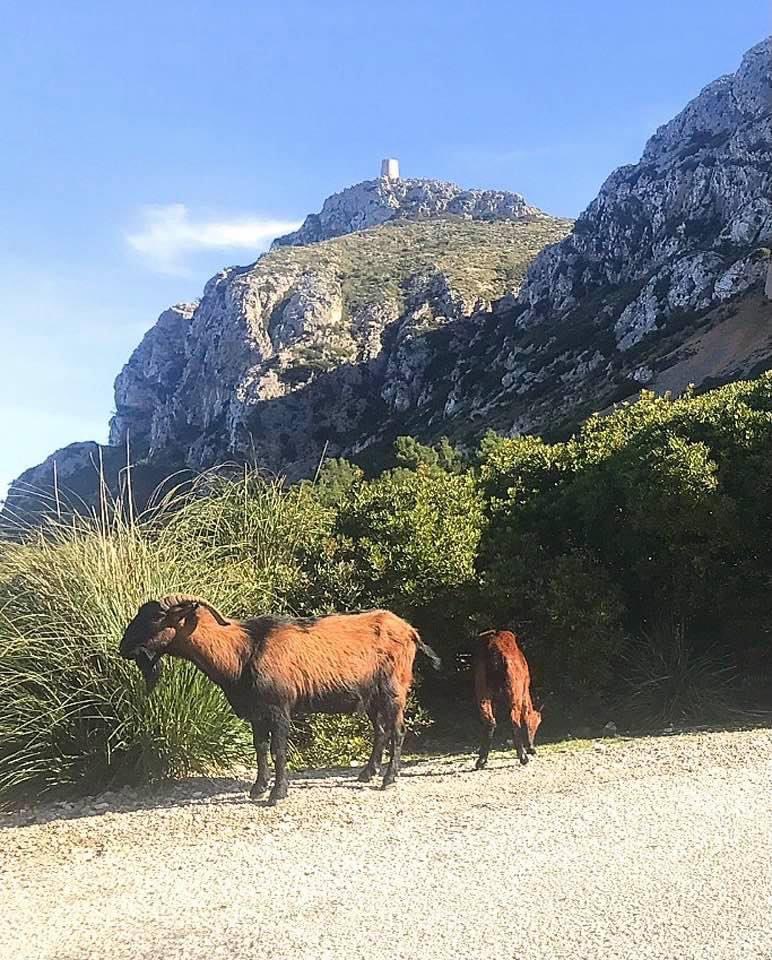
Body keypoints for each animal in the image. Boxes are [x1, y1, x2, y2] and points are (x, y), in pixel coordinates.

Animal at [117, 592, 438, 804]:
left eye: (158, 617)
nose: (124, 647)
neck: (243, 650)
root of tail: (410, 630)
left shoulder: (279, 708)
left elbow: (278, 750)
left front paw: (277, 793)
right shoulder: (256, 712)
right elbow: (260, 749)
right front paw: (258, 788)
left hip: (394, 688)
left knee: (397, 730)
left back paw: (388, 778)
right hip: (370, 695)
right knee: (380, 731)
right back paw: (367, 773)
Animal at [470, 632, 544, 772]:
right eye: (536, 725)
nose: (532, 746)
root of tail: (495, 653)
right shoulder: (524, 691)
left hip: (481, 688)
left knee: (489, 721)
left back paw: (481, 761)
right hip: (514, 692)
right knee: (514, 720)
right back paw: (523, 758)